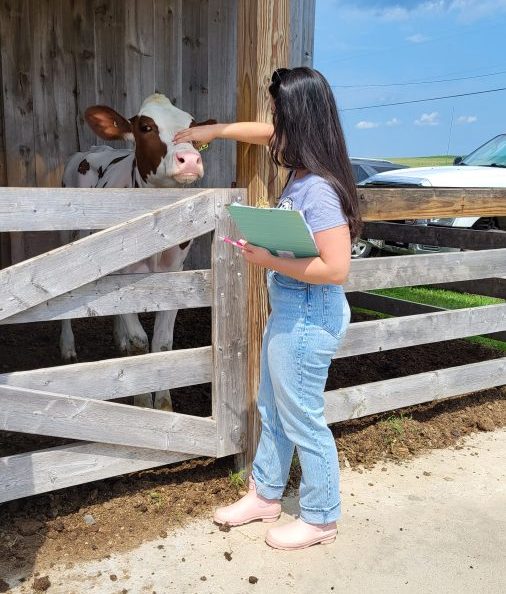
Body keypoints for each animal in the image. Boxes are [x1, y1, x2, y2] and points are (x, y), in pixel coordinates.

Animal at [60, 92, 213, 410]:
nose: (190, 160)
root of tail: (97, 147)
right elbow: (140, 342)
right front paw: (143, 403)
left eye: (194, 130)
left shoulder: (175, 272)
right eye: (146, 127)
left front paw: (164, 405)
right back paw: (68, 347)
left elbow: (163, 343)